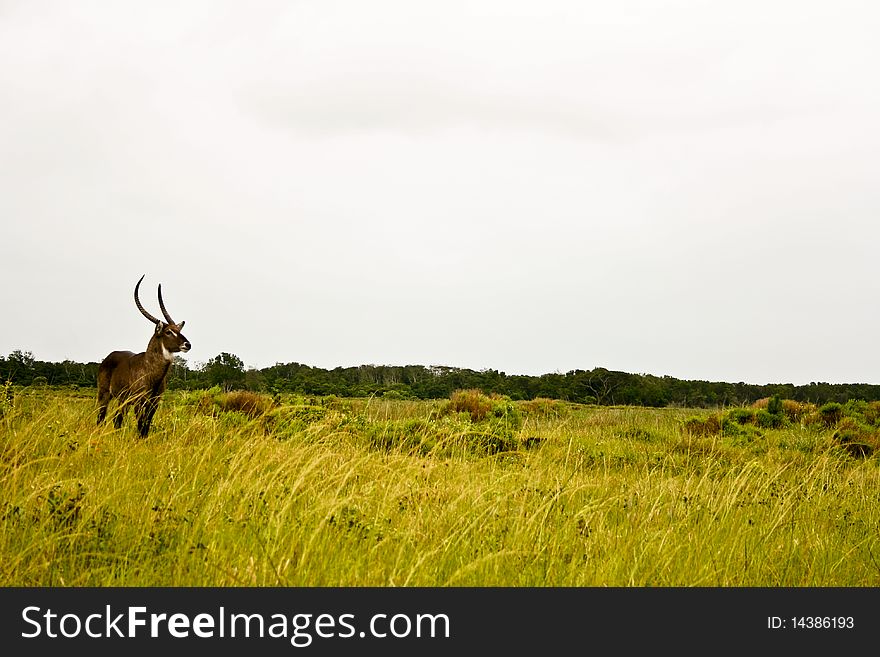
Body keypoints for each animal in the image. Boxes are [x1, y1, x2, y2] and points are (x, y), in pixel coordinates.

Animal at [97, 276, 192, 436]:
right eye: (168, 332)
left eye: (178, 330)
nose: (187, 344)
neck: (151, 371)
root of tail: (110, 356)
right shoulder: (139, 402)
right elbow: (141, 425)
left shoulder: (154, 403)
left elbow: (146, 426)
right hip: (104, 394)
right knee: (101, 417)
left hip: (123, 401)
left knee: (117, 419)